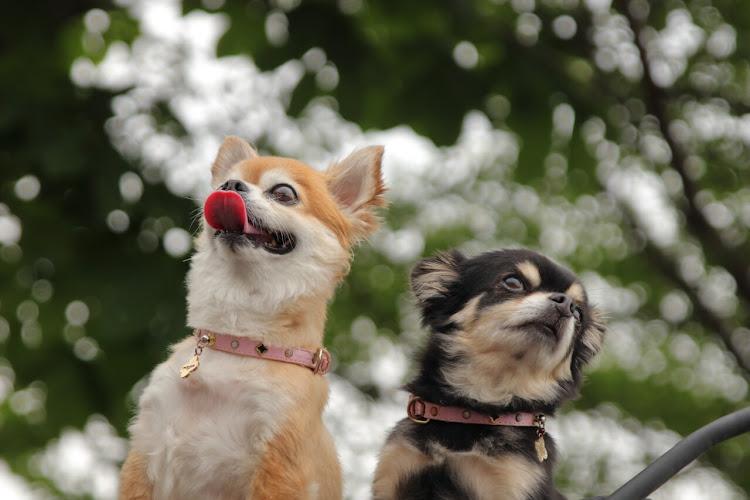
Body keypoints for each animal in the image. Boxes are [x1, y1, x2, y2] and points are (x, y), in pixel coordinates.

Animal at [120, 137, 388, 500]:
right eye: (222, 183)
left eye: (284, 193)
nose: (230, 186)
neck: (239, 342)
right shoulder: (146, 448)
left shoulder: (280, 464)